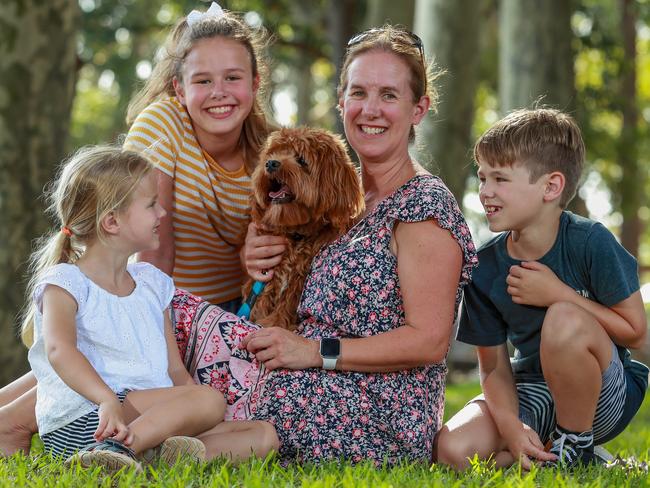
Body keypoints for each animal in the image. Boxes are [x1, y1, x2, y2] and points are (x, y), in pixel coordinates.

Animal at [243, 126, 364, 332]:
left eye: (301, 160)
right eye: (273, 153)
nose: (271, 163)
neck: (297, 235)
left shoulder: (300, 280)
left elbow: (287, 304)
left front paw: (273, 323)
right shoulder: (269, 278)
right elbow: (263, 301)